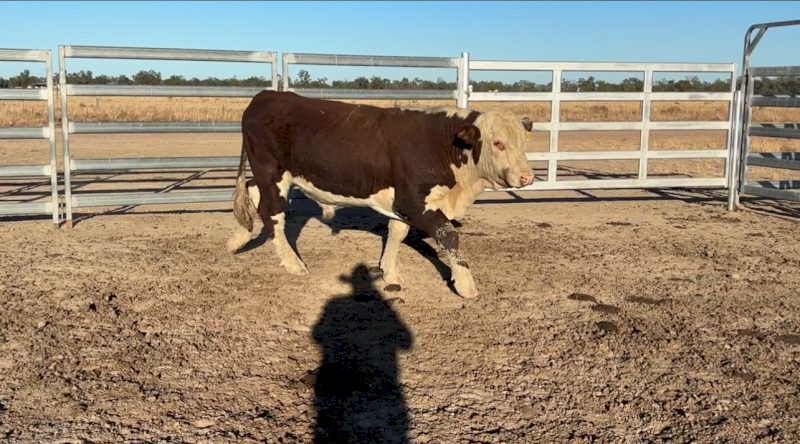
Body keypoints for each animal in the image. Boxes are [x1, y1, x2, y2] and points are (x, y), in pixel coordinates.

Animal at [226, 90, 534, 299]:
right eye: (497, 143)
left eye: (522, 143)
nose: (527, 177)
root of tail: (267, 95)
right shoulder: (413, 201)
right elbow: (448, 235)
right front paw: (465, 283)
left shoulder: (404, 204)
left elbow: (397, 233)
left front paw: (389, 271)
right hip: (271, 172)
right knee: (272, 213)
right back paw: (292, 263)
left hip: (269, 176)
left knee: (253, 193)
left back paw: (239, 237)